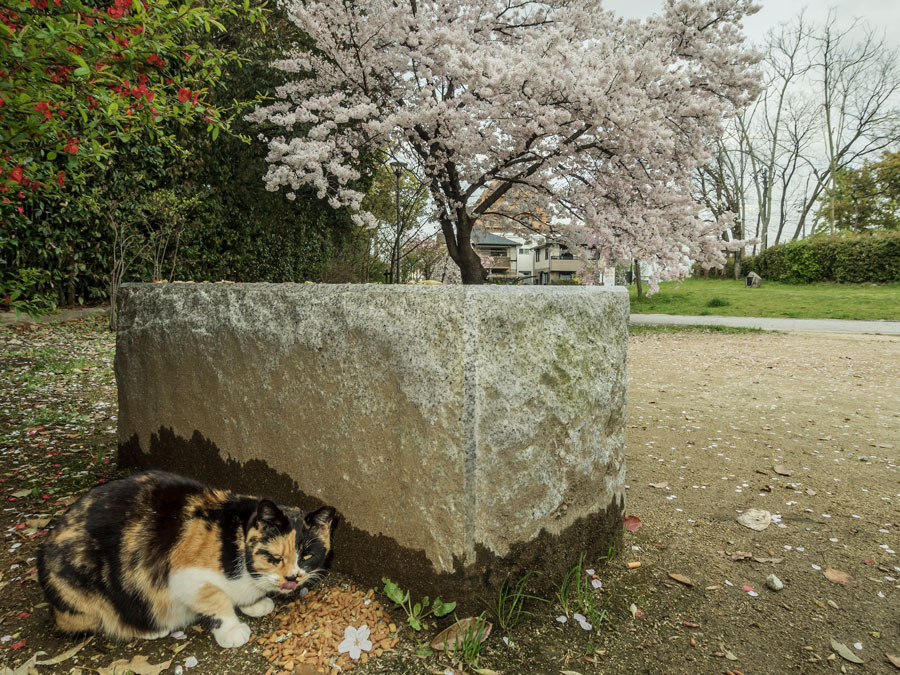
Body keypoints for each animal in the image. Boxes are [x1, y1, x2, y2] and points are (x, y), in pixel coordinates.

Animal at [37, 470, 336, 648]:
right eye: (275, 557)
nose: (293, 578)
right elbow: (217, 600)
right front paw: (232, 629)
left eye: (308, 556)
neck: (235, 538)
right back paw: (149, 629)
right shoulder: (183, 575)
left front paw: (254, 604)